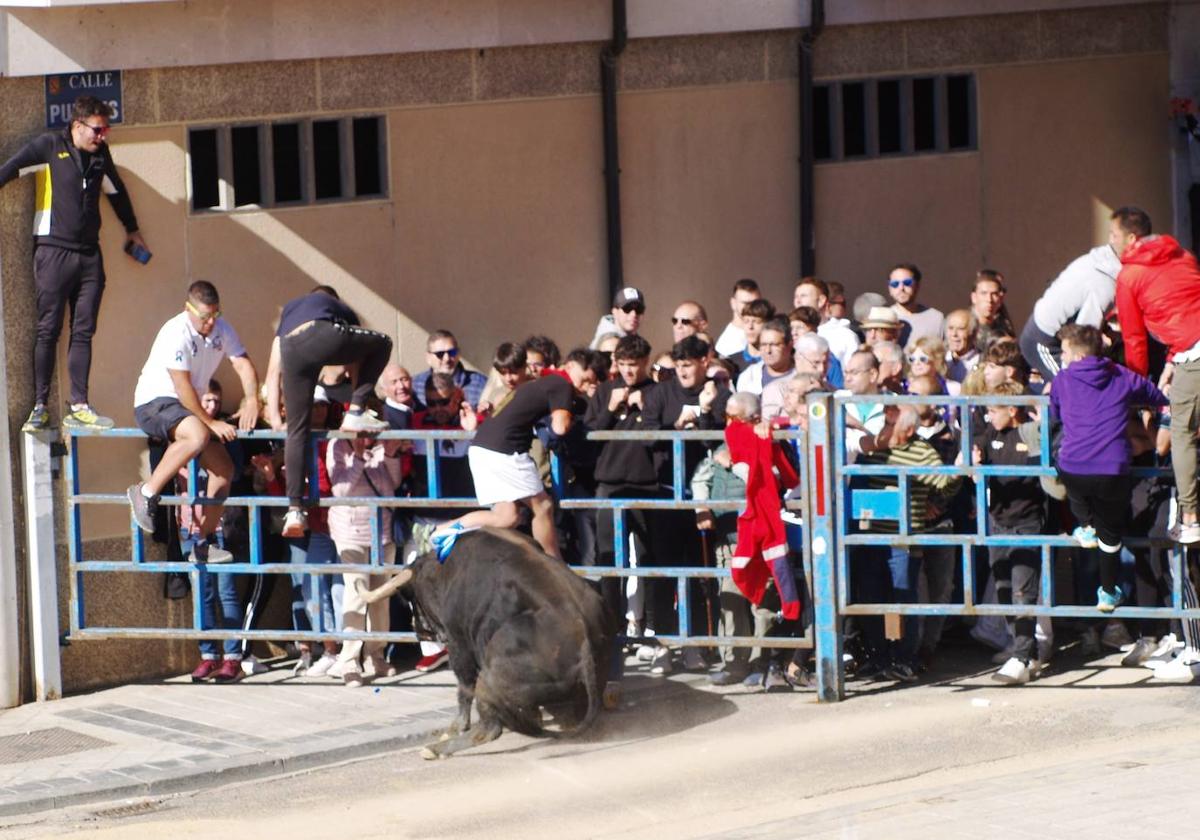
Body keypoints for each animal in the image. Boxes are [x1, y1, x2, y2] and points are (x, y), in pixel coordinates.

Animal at [362, 528, 609, 758]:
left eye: (413, 597)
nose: (420, 632)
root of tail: (583, 639)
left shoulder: (459, 645)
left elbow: (464, 689)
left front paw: (455, 728)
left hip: (487, 675)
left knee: (489, 728)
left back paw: (436, 749)